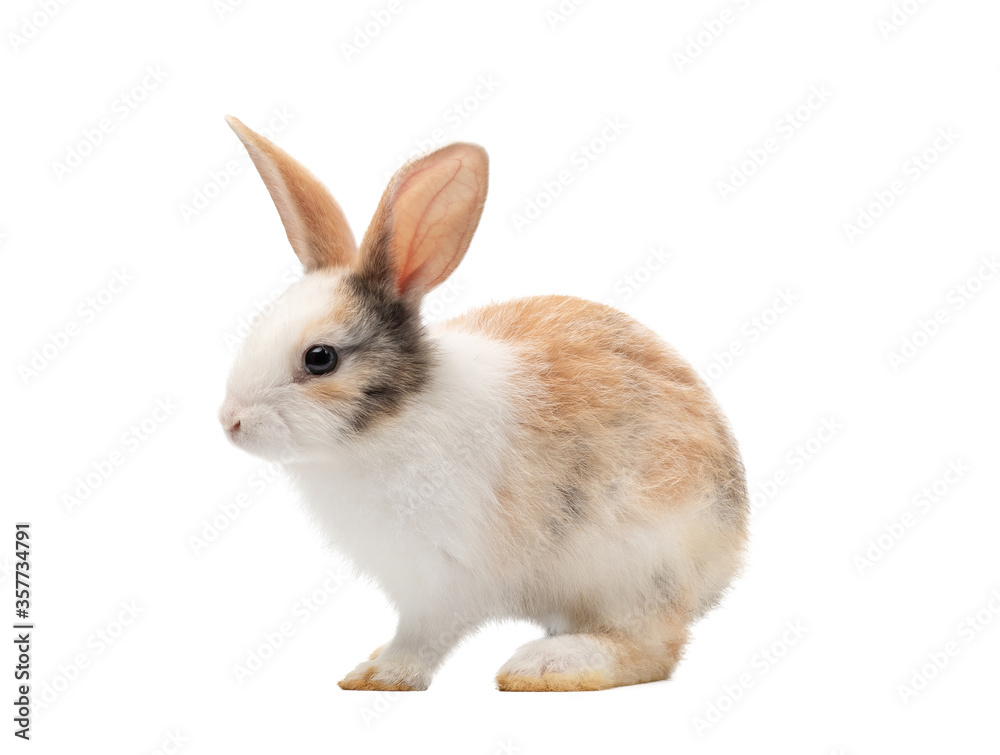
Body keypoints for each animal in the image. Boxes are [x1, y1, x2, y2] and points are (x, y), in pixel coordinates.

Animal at [219, 115, 752, 692]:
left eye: (320, 358)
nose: (230, 422)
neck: (393, 423)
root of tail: (729, 551)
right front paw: (373, 663)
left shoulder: (440, 580)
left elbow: (423, 634)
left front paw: (381, 674)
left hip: (635, 564)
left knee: (653, 649)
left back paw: (546, 665)